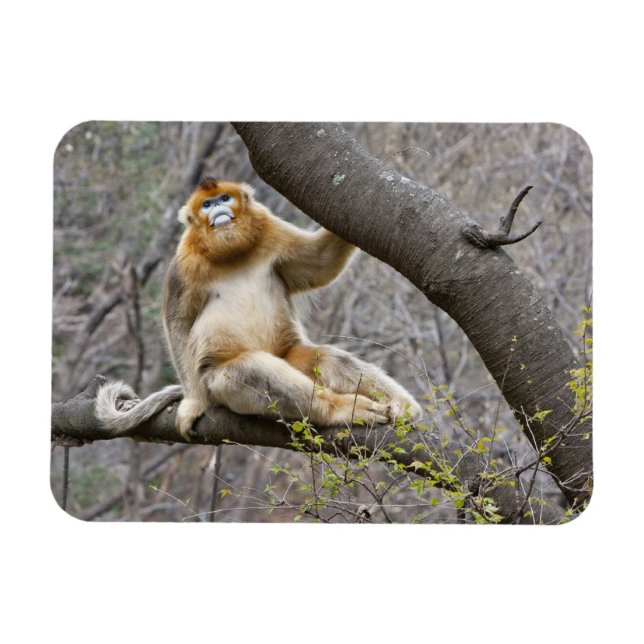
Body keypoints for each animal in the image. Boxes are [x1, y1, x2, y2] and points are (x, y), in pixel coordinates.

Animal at [95, 178, 422, 440]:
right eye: (207, 204)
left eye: (224, 198)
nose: (217, 209)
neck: (231, 252)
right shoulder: (183, 262)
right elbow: (178, 322)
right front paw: (193, 404)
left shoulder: (271, 228)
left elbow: (321, 262)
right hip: (217, 386)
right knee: (251, 369)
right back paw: (340, 409)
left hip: (289, 354)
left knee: (328, 359)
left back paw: (402, 405)